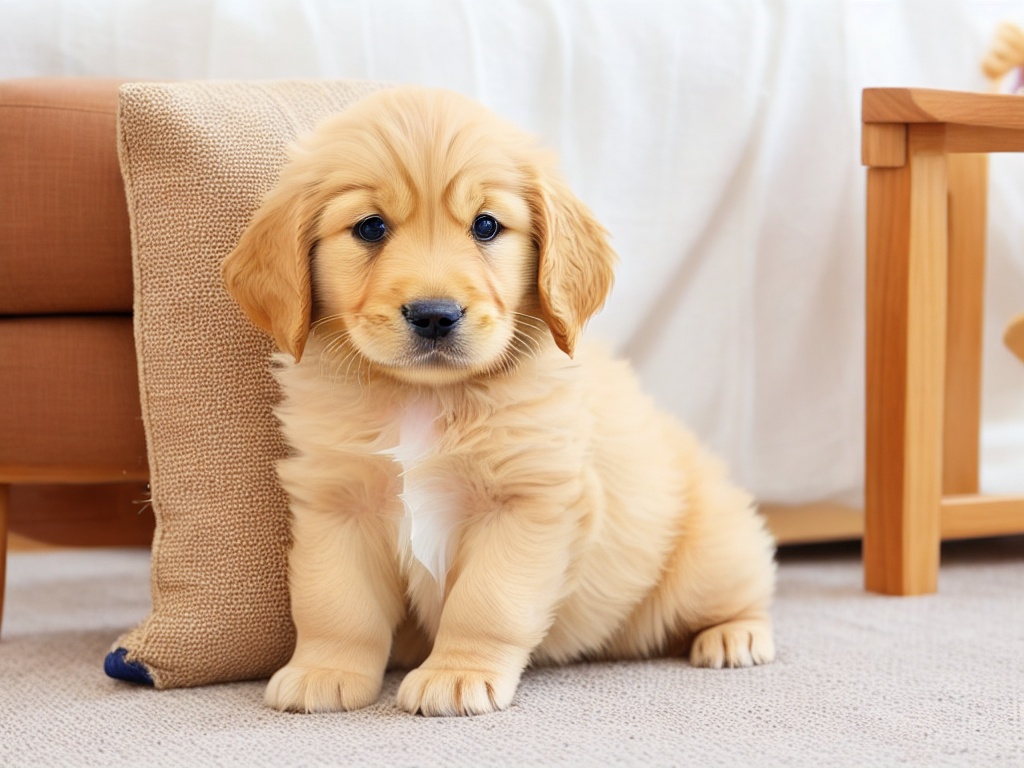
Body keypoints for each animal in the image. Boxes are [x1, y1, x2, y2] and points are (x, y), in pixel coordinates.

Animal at [220, 83, 770, 716]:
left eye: (486, 226)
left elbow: (487, 603)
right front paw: (324, 669)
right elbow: (335, 602)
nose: (435, 315)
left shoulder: (527, 501)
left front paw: (458, 673)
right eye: (370, 228)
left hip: (705, 559)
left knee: (747, 585)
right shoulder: (338, 502)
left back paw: (736, 635)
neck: (424, 401)